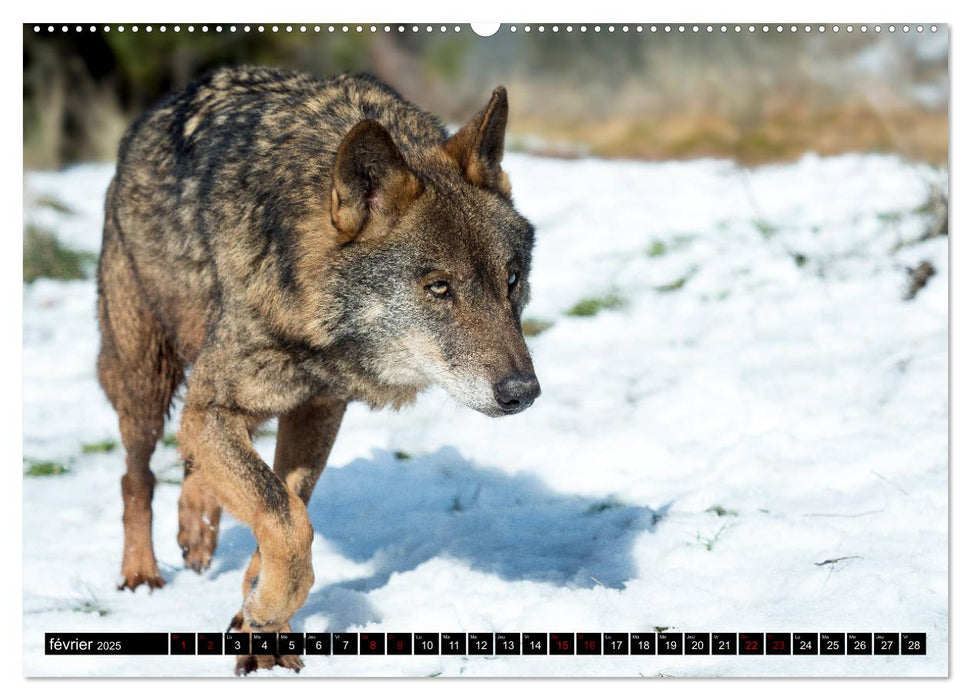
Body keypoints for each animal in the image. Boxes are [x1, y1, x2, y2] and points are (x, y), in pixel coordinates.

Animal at [94, 67, 540, 672]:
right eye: (438, 288)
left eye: (511, 279)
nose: (524, 391)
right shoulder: (216, 405)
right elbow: (285, 521)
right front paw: (266, 610)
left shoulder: (318, 409)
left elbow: (286, 510)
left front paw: (260, 623)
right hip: (146, 381)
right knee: (135, 477)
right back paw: (141, 573)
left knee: (194, 466)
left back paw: (198, 529)